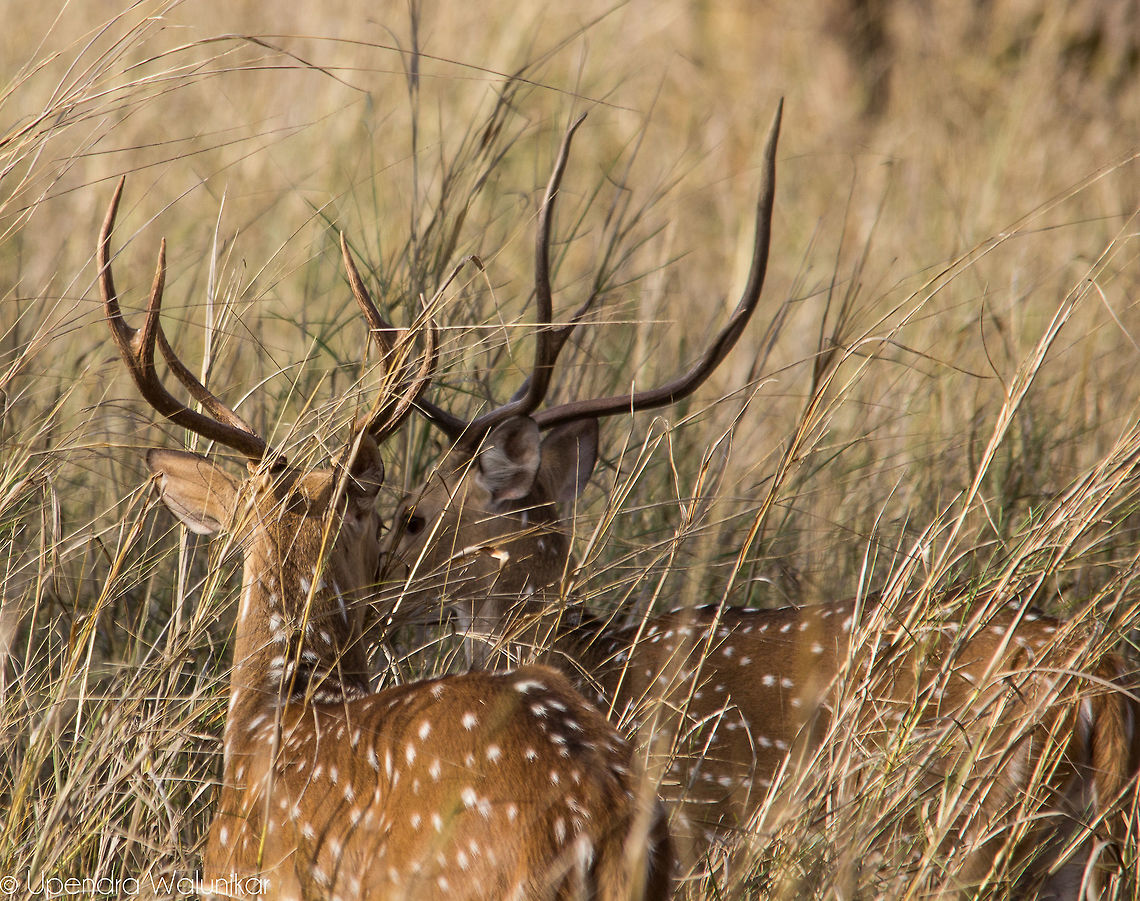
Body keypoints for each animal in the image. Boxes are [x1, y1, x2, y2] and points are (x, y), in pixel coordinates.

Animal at [376, 103, 1139, 896]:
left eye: (412, 515)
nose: (371, 596)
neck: (586, 658)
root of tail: (1107, 688)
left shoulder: (690, 824)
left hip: (977, 828)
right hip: (1079, 850)